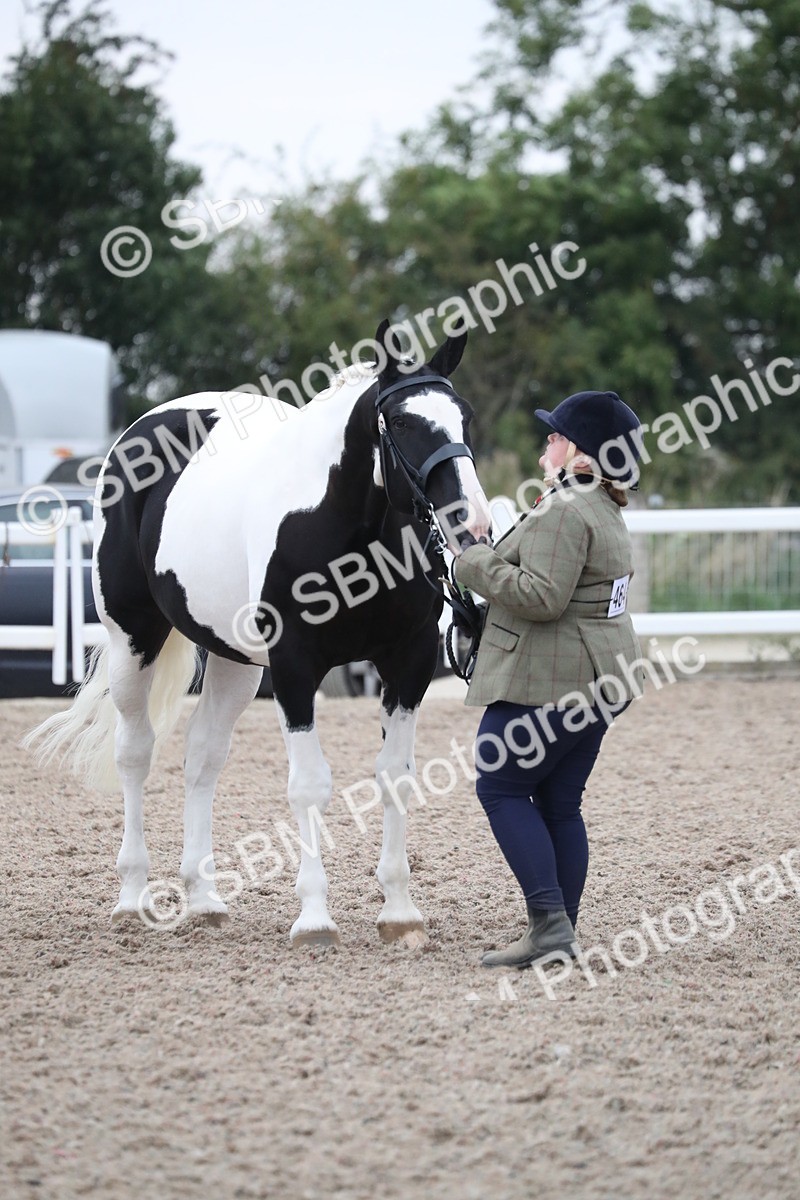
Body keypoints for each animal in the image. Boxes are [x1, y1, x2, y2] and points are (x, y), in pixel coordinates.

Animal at [26, 320, 491, 947]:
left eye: (464, 417)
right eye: (401, 424)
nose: (474, 521)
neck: (344, 526)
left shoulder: (408, 663)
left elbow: (395, 778)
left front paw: (399, 912)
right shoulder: (295, 667)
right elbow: (309, 785)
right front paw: (315, 918)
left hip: (235, 661)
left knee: (202, 757)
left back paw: (204, 899)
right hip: (133, 640)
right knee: (135, 752)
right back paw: (131, 898)